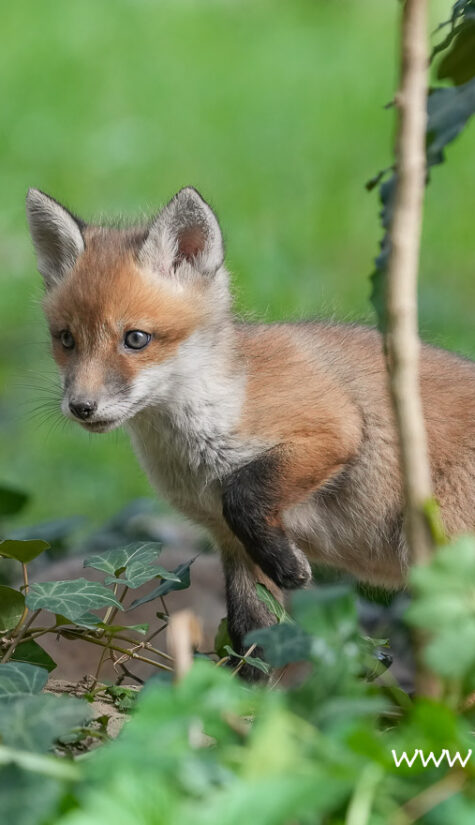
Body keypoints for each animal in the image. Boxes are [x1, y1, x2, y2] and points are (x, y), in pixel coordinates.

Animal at [26, 186, 475, 677]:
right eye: (67, 339)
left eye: (136, 339)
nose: (81, 407)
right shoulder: (232, 546)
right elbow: (252, 642)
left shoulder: (332, 430)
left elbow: (243, 493)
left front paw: (291, 568)